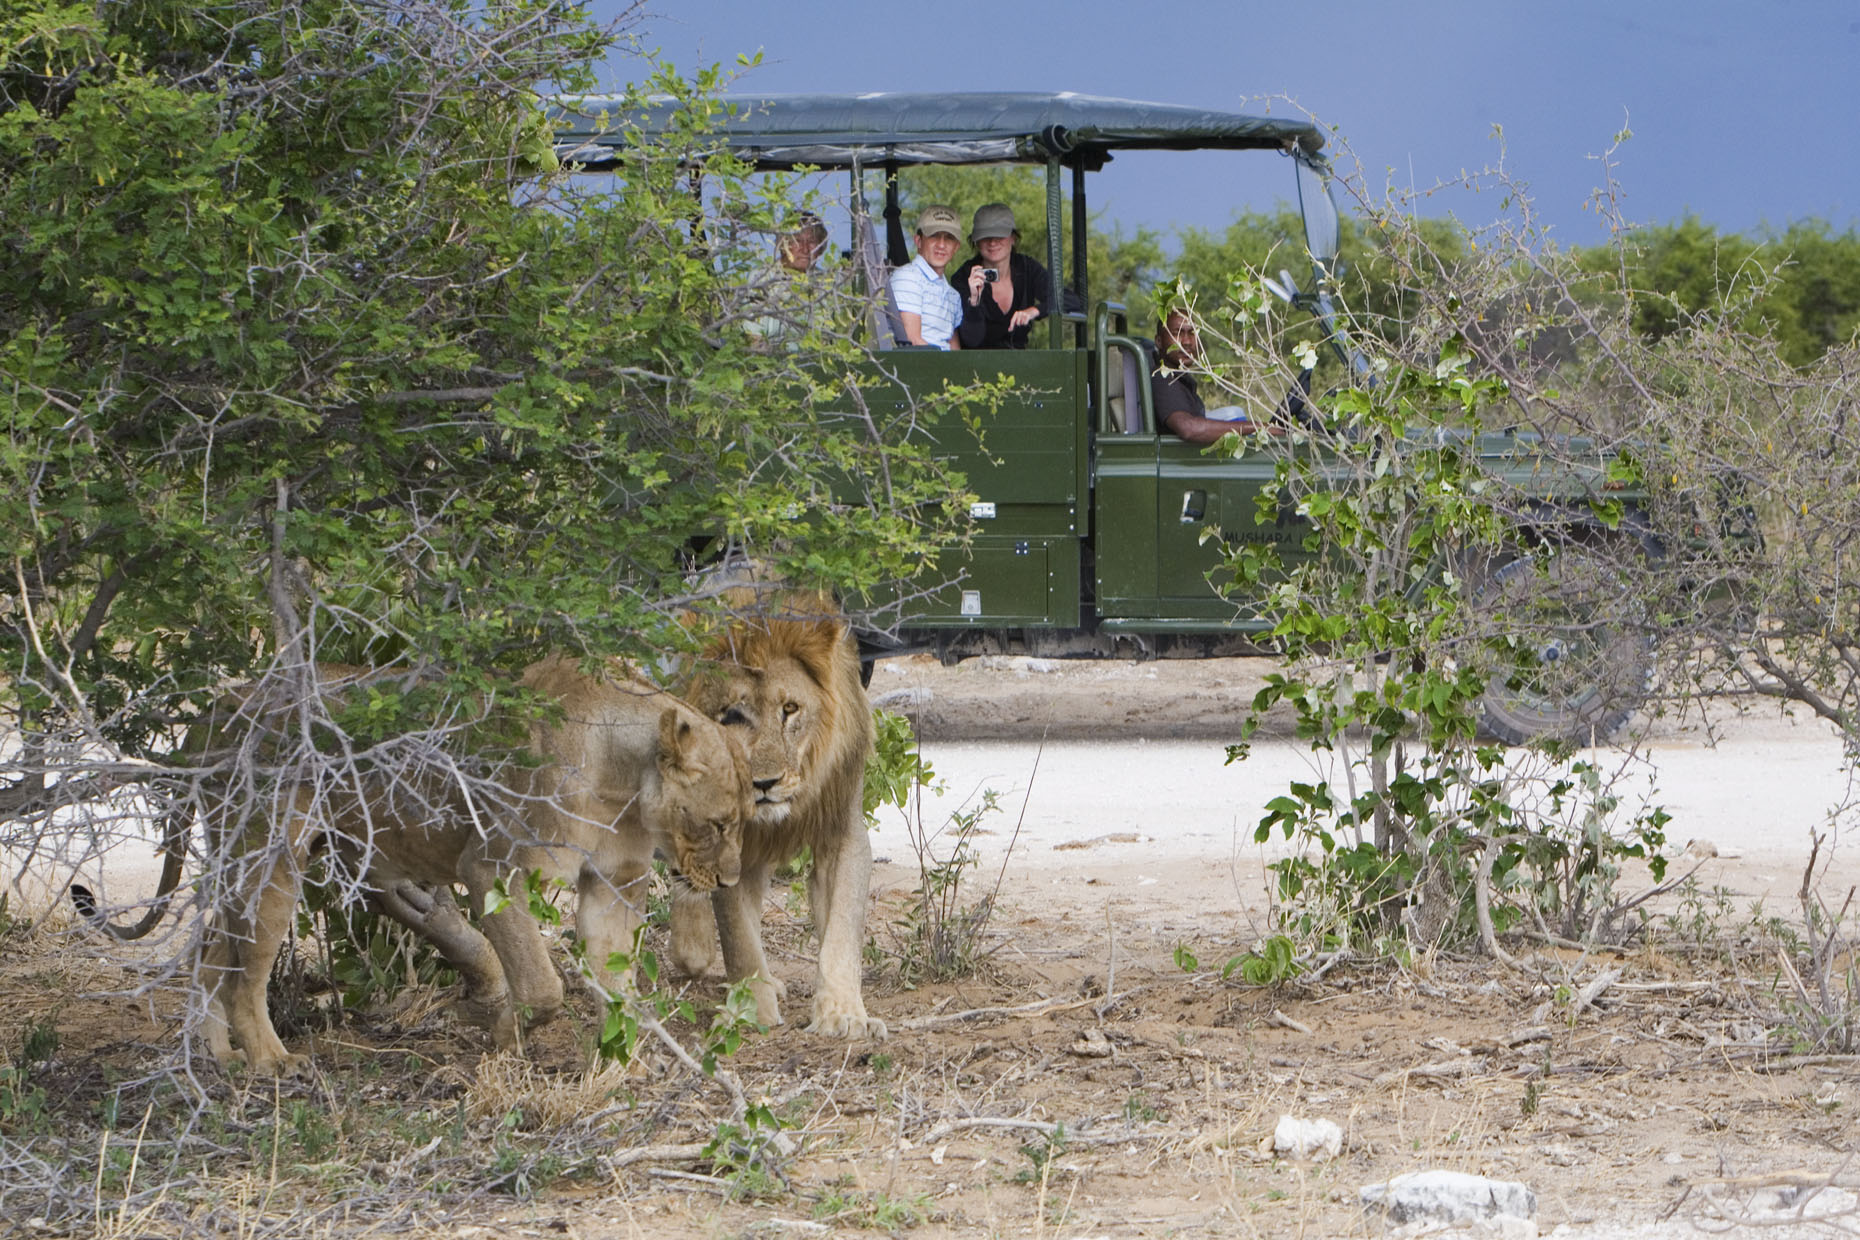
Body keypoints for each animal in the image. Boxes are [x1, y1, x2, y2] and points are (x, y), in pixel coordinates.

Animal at [86, 658, 751, 1075]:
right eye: (719, 824)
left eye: (741, 821)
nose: (731, 880)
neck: (624, 786)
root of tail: (219, 705)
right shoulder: (491, 869)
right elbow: (543, 988)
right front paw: (503, 1040)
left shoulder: (613, 883)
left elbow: (619, 986)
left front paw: (622, 1065)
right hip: (270, 856)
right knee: (244, 970)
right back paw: (271, 1063)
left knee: (209, 953)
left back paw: (221, 1061)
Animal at [674, 605, 887, 1040]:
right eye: (732, 715)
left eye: (789, 709)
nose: (764, 783)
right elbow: (738, 939)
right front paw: (750, 1011)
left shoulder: (842, 830)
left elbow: (842, 928)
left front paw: (842, 1013)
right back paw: (692, 949)